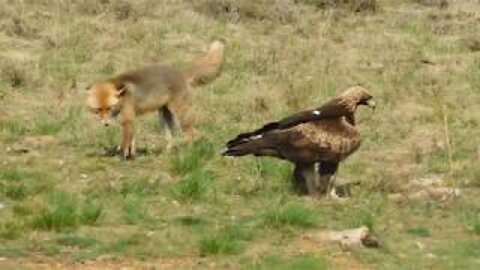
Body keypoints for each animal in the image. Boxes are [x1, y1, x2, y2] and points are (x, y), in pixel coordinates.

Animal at [86, 39, 225, 159]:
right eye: (98, 109)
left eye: (109, 108)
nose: (105, 124)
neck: (122, 99)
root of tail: (180, 74)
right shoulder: (130, 121)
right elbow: (132, 142)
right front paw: (133, 156)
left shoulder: (127, 120)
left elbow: (125, 144)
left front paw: (123, 158)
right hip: (164, 118)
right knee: (171, 137)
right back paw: (166, 153)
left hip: (181, 115)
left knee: (191, 134)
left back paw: (189, 152)